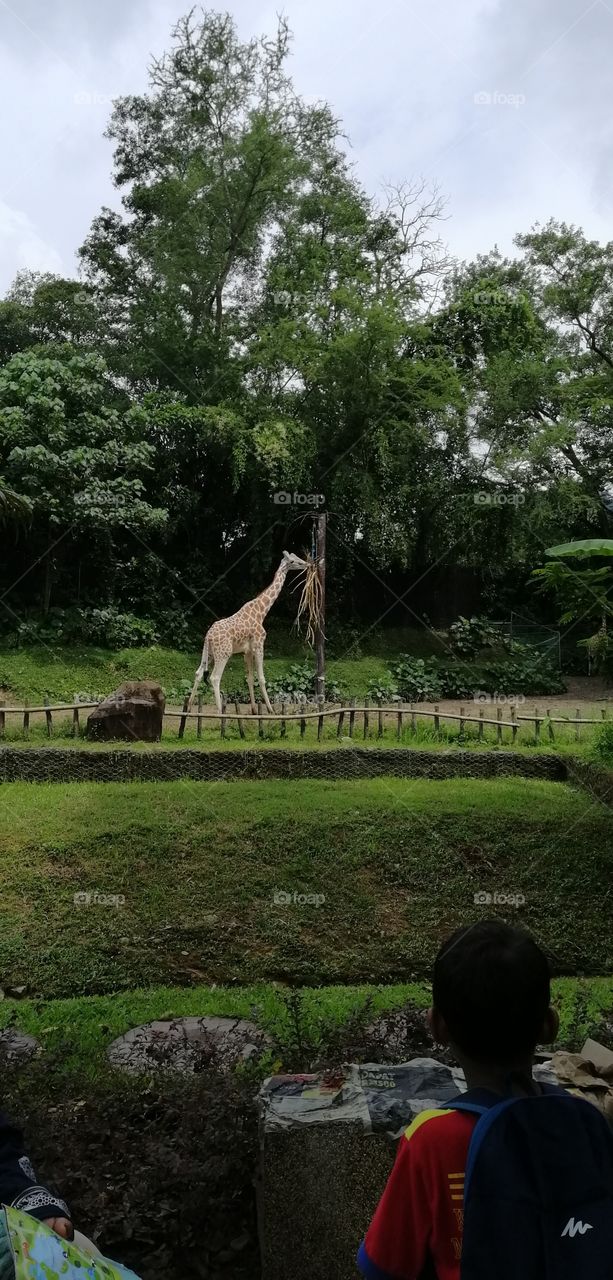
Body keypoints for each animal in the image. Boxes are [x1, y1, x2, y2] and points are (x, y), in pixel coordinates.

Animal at [185, 547, 312, 716]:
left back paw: (189, 707)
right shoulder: (259, 645)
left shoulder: (247, 651)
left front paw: (254, 710)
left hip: (209, 653)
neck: (261, 611)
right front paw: (270, 710)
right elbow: (261, 678)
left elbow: (250, 678)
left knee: (199, 673)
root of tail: (208, 636)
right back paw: (220, 712)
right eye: (293, 561)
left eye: (297, 557)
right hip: (223, 653)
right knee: (215, 677)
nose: (307, 564)